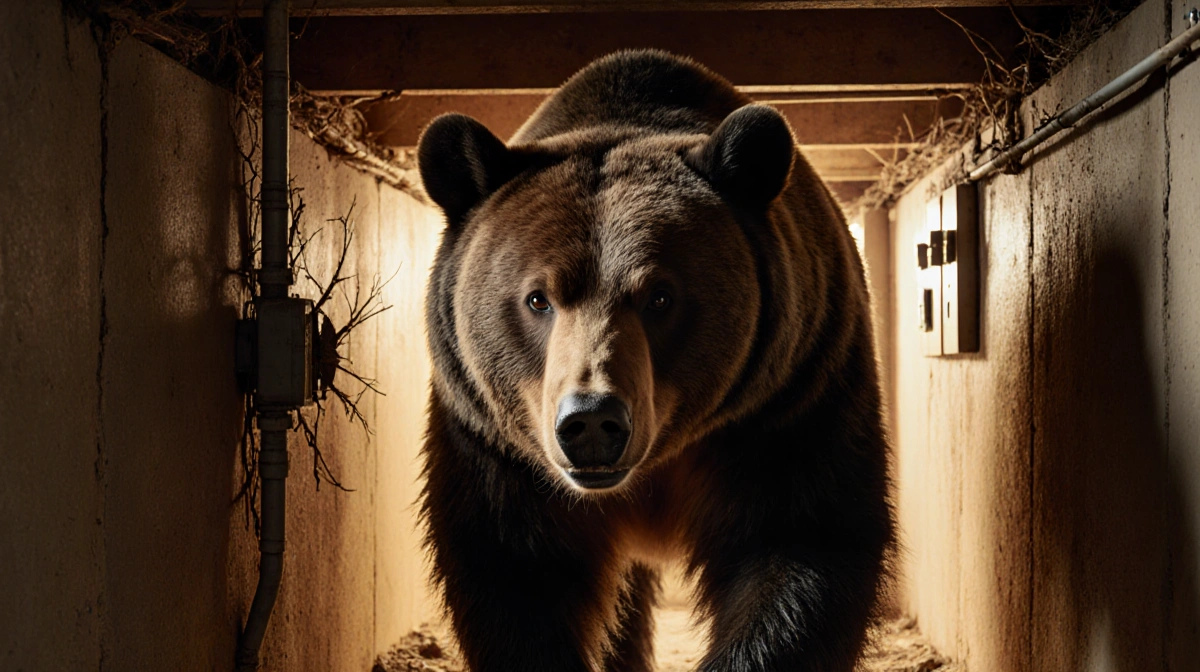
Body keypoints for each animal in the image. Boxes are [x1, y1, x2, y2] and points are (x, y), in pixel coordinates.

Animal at [416, 50, 894, 672]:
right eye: (538, 298)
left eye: (660, 297)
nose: (592, 420)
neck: (658, 462)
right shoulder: (494, 442)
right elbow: (515, 573)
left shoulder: (789, 400)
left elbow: (801, 544)